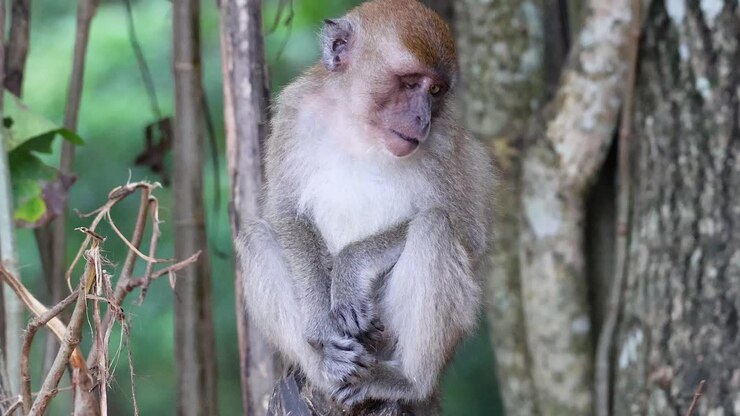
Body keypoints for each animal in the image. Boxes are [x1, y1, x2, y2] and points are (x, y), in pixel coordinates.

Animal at [237, 0, 493, 412]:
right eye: (409, 83)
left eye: (435, 90)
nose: (421, 118)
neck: (361, 126)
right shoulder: (296, 110)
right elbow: (284, 212)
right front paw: (321, 323)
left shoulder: (445, 140)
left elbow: (468, 233)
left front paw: (349, 269)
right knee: (255, 235)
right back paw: (327, 367)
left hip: (389, 334)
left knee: (434, 226)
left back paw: (407, 381)